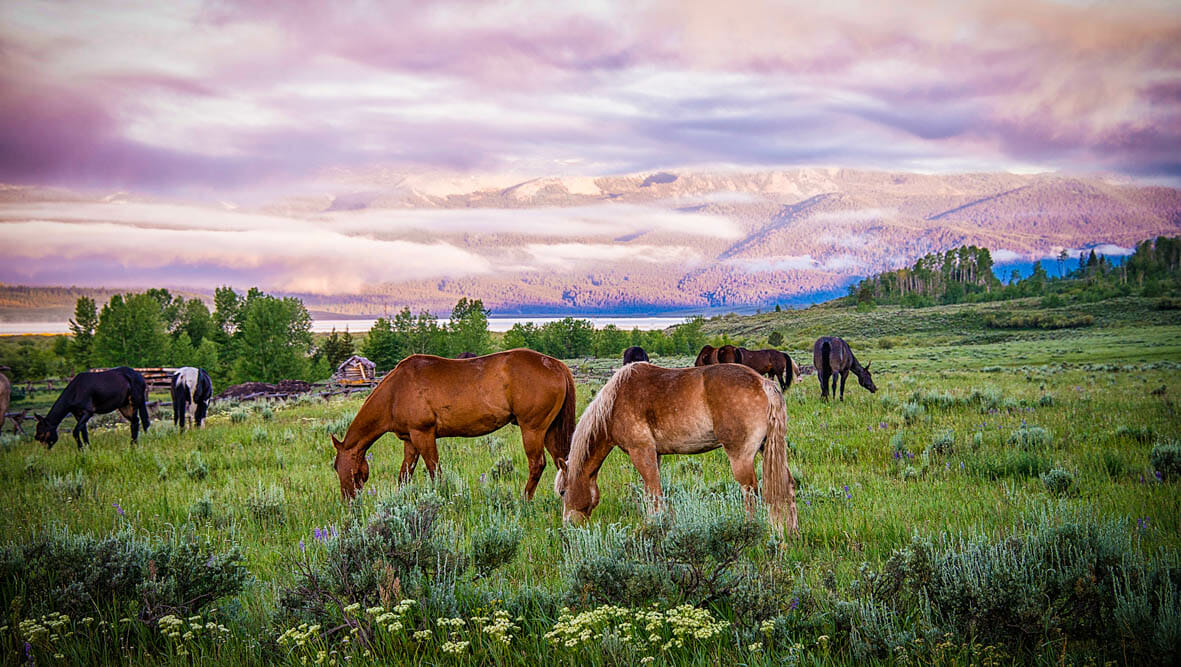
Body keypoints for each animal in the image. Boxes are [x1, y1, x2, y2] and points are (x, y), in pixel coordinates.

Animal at [333, 349, 576, 500]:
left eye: (337, 467)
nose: (348, 501)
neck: (395, 391)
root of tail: (556, 365)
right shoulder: (410, 440)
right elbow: (404, 476)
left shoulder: (423, 435)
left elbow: (435, 472)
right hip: (550, 430)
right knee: (563, 462)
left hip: (533, 429)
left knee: (537, 464)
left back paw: (524, 499)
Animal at [557, 361, 798, 533]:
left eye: (562, 492)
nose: (568, 525)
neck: (615, 402)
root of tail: (763, 383)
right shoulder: (654, 455)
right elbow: (650, 492)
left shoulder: (640, 452)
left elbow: (654, 493)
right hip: (767, 448)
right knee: (787, 484)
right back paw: (790, 532)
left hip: (740, 456)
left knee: (749, 491)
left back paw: (751, 529)